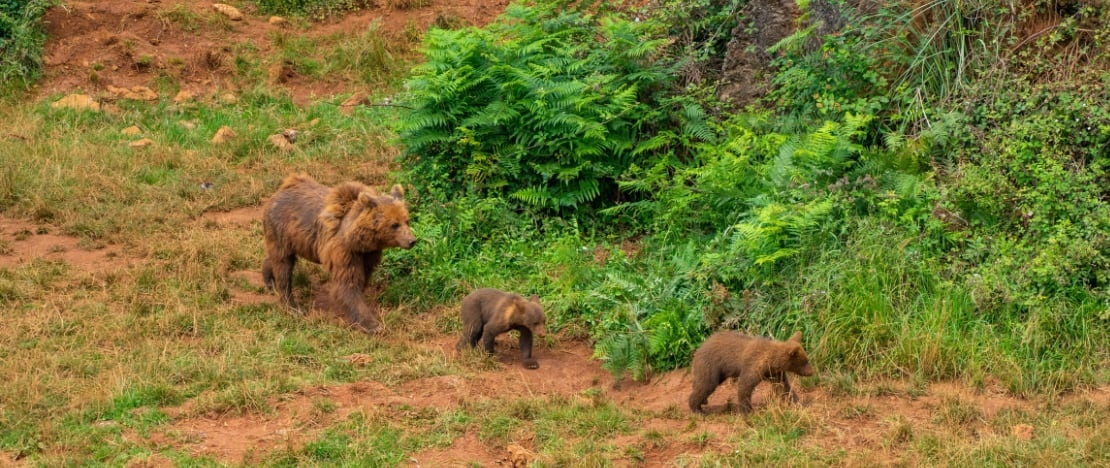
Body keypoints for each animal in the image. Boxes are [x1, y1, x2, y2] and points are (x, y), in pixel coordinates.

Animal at [263, 174, 417, 332]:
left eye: (407, 221)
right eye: (394, 225)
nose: (412, 240)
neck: (360, 240)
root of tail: (281, 189)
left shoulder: (368, 253)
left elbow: (363, 276)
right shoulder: (344, 251)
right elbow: (348, 283)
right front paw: (373, 324)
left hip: (293, 239)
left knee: (278, 259)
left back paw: (270, 280)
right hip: (281, 227)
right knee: (284, 265)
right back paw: (293, 306)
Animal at [683, 328, 816, 412]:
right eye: (805, 361)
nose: (812, 372)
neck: (771, 361)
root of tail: (698, 349)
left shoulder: (774, 373)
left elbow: (784, 387)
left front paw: (797, 403)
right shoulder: (754, 365)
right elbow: (745, 386)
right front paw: (747, 410)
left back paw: (702, 402)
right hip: (711, 365)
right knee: (706, 385)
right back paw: (697, 408)